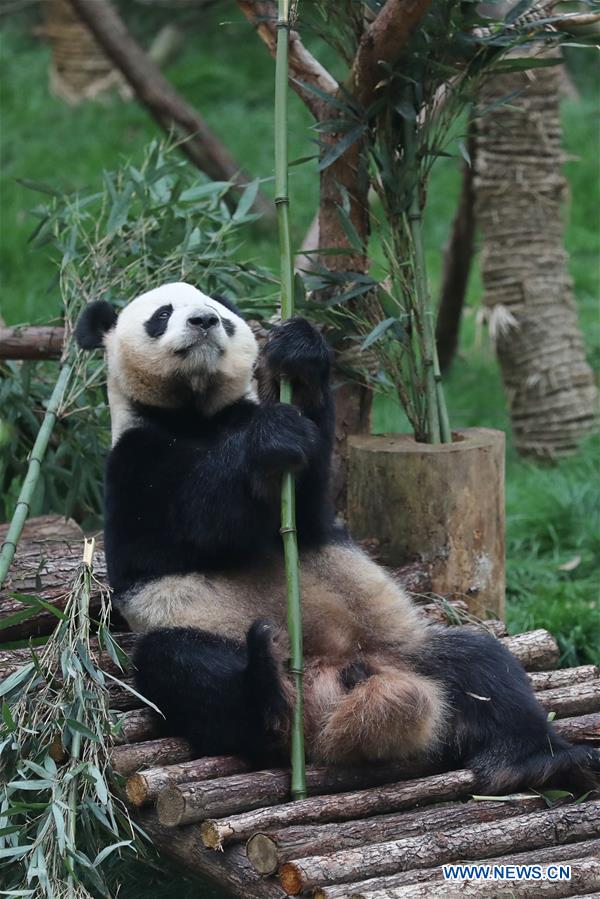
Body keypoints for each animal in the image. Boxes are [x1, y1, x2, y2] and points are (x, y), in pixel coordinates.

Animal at [77, 284, 596, 796]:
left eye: (222, 316)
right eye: (162, 314)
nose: (203, 321)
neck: (199, 415)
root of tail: (330, 691)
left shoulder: (296, 484)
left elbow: (306, 496)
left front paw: (298, 356)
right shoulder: (132, 464)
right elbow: (196, 524)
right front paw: (270, 439)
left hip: (405, 649)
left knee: (484, 667)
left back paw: (537, 763)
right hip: (199, 627)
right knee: (184, 668)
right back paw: (264, 689)